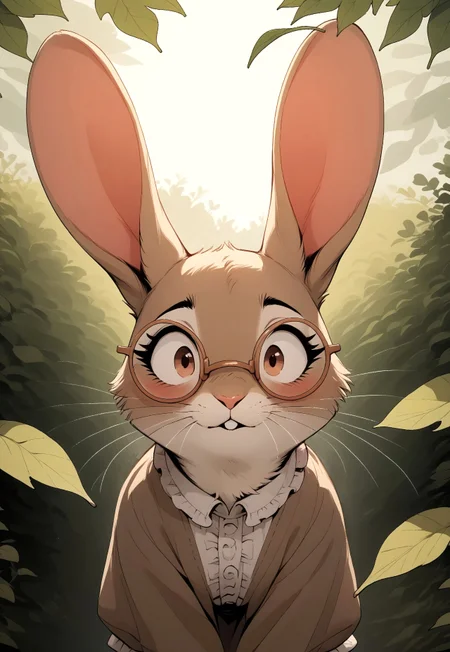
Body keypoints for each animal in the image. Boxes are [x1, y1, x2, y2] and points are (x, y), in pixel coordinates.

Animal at [26, 17, 383, 652]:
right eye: (178, 358)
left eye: (280, 355)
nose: (231, 396)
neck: (230, 494)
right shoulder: (140, 545)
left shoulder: (318, 540)